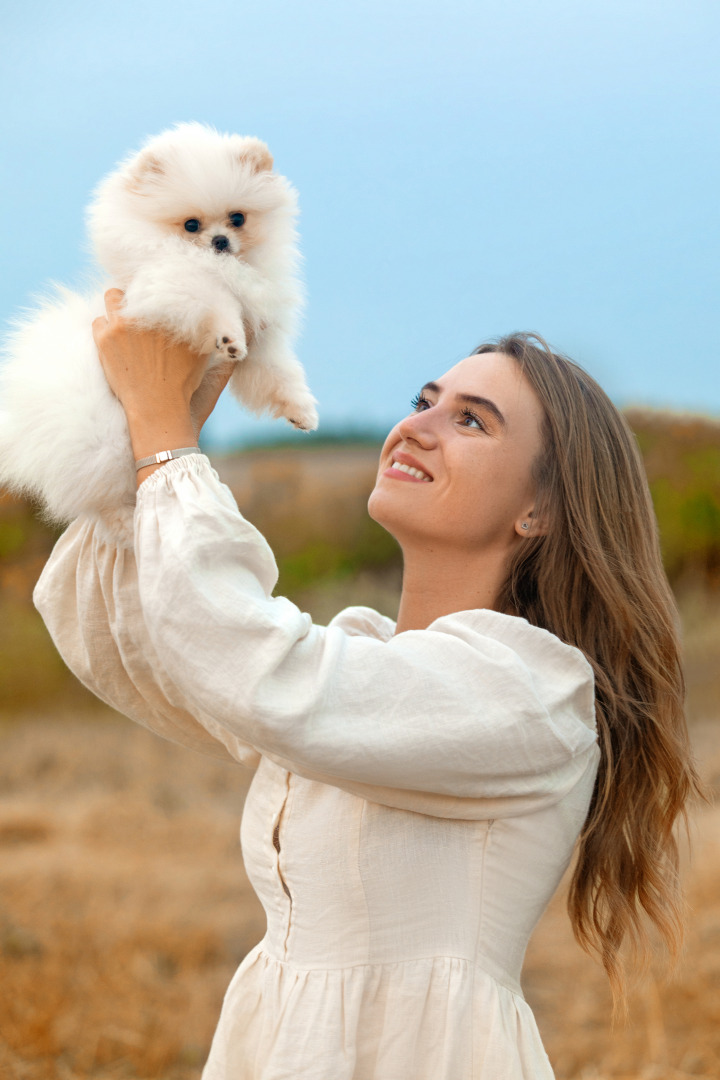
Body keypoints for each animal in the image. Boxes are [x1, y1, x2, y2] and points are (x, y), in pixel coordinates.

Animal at [0, 123, 317, 544]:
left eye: (237, 218)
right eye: (191, 225)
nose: (220, 241)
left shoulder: (263, 340)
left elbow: (278, 373)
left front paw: (301, 411)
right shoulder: (169, 286)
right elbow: (213, 299)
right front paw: (228, 336)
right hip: (105, 441)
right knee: (97, 498)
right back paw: (123, 526)